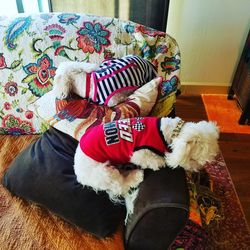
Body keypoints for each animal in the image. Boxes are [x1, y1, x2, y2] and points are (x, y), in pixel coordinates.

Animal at [73, 116, 219, 216]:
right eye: (193, 160)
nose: (198, 170)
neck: (167, 133)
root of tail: (79, 175)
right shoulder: (139, 153)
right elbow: (156, 160)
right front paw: (162, 160)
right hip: (104, 173)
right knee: (121, 185)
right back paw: (135, 176)